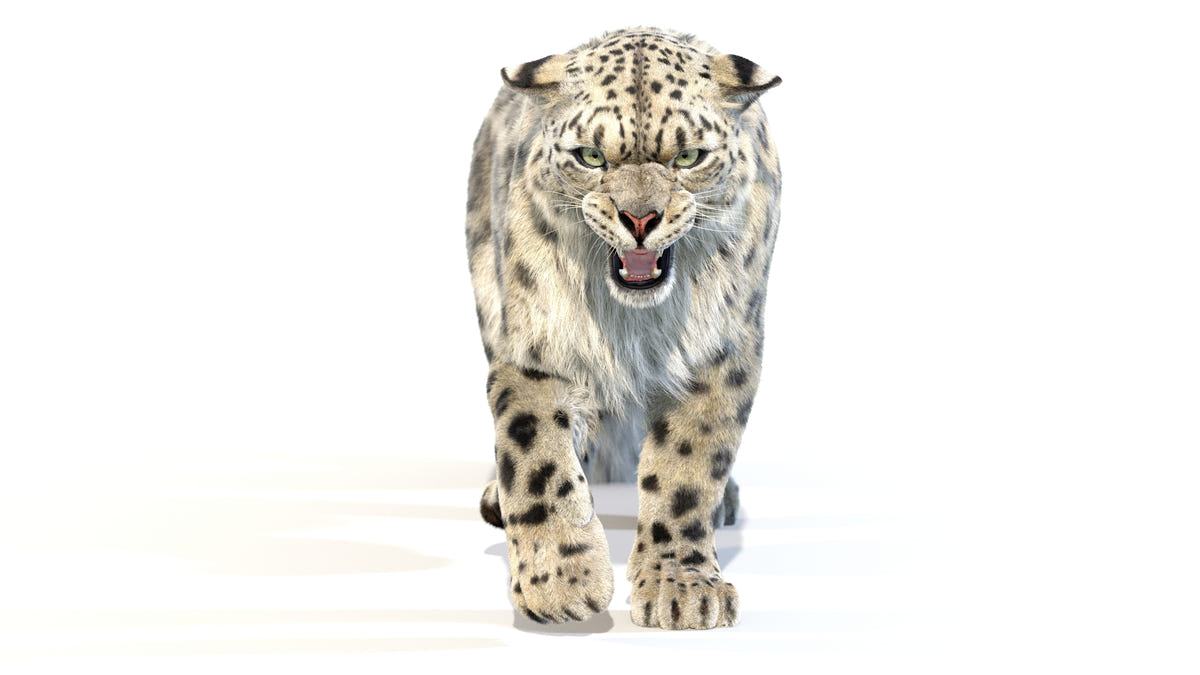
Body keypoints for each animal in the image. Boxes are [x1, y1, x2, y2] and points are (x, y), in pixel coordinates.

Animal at [465, 27, 782, 630]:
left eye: (688, 156)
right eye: (590, 157)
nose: (639, 219)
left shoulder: (718, 352)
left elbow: (687, 468)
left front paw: (682, 590)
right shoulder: (536, 348)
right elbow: (538, 457)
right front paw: (561, 584)